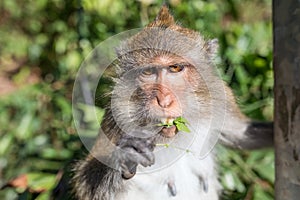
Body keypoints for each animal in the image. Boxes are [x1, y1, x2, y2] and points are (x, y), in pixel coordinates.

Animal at [72, 5, 274, 199]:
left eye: (175, 68)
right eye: (148, 72)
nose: (164, 100)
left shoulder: (221, 98)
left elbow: (242, 135)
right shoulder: (116, 116)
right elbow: (87, 188)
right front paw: (128, 155)